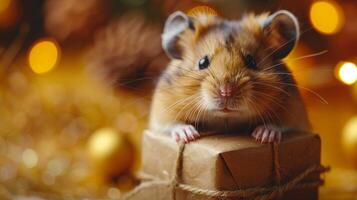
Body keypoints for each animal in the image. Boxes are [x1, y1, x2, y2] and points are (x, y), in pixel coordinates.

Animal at [147, 9, 308, 144]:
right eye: (202, 62)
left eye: (252, 62)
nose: (226, 92)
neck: (225, 119)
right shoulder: (162, 110)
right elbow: (173, 123)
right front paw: (188, 135)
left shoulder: (295, 112)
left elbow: (279, 125)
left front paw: (264, 135)